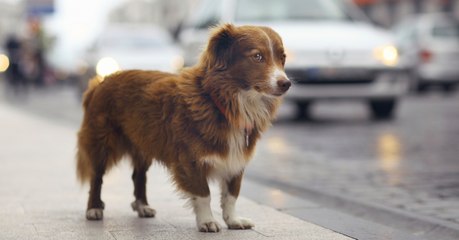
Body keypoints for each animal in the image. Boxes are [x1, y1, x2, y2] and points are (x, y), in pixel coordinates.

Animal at [75, 23, 292, 232]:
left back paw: (143, 206)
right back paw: (94, 208)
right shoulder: (190, 160)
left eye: (282, 58)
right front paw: (207, 221)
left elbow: (231, 195)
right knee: (97, 177)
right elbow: (203, 194)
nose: (286, 83)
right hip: (102, 142)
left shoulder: (236, 160)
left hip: (143, 144)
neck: (223, 102)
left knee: (138, 176)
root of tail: (101, 81)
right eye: (257, 56)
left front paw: (233, 220)